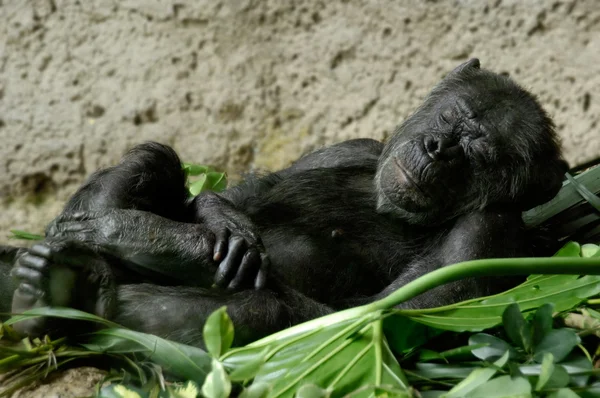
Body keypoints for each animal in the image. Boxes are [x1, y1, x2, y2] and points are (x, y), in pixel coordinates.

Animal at [0, 58, 568, 346]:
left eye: (477, 152)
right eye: (451, 117)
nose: (437, 148)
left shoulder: (486, 235)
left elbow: (373, 319)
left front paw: (157, 242)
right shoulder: (349, 147)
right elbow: (233, 196)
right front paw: (212, 228)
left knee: (267, 310)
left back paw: (66, 290)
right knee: (156, 158)